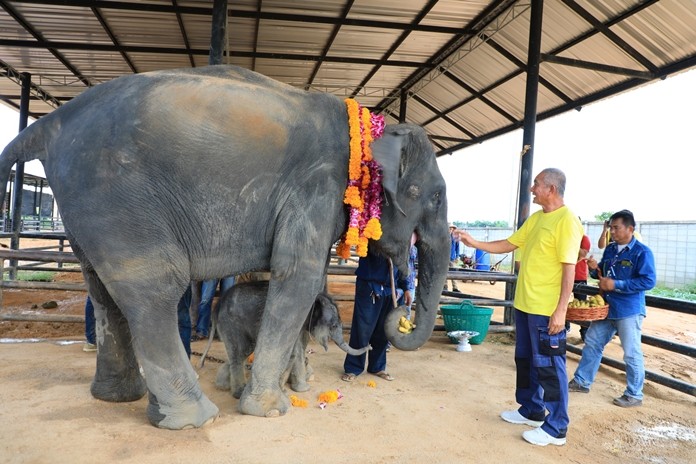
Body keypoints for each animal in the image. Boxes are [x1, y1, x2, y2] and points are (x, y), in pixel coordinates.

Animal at [216, 280, 370, 396]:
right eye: (333, 326)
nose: (370, 346)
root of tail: (219, 303)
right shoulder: (292, 322)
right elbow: (293, 352)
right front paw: (298, 390)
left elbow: (294, 352)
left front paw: (285, 390)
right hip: (231, 322)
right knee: (241, 352)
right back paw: (237, 393)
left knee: (240, 352)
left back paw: (222, 386)